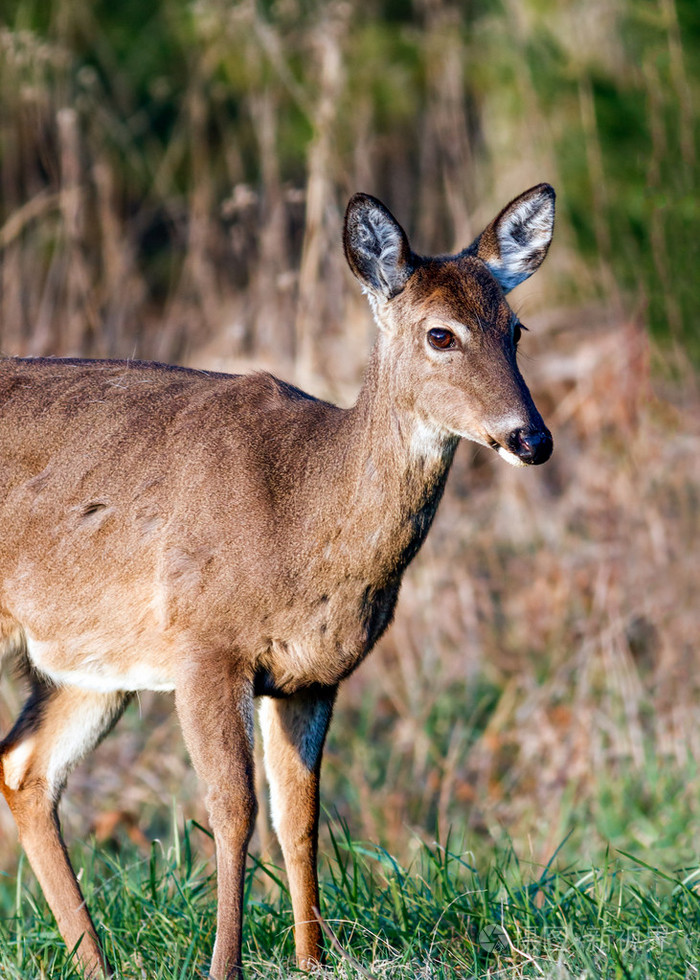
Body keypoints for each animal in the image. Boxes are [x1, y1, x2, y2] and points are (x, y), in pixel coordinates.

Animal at [1, 182, 556, 972]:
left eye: (516, 328)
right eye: (441, 335)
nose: (530, 438)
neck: (299, 511)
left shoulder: (311, 676)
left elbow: (300, 817)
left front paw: (315, 961)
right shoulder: (207, 644)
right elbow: (234, 811)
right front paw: (224, 966)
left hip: (88, 658)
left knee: (24, 768)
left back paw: (95, 965)